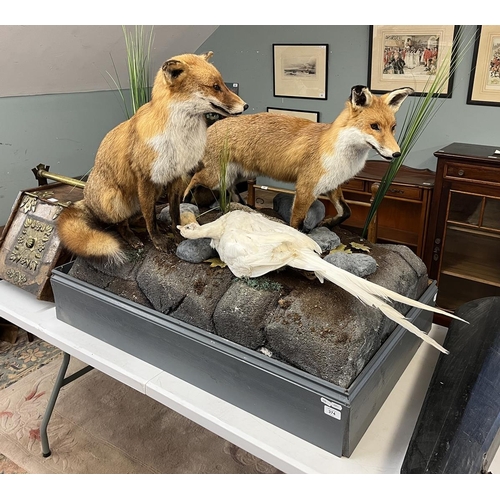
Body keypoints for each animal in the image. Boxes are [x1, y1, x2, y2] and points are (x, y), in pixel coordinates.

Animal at [55, 51, 247, 266]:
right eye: (215, 86)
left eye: (222, 84)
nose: (246, 105)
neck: (180, 137)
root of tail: (87, 200)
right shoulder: (145, 178)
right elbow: (151, 218)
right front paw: (158, 241)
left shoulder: (175, 178)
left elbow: (173, 213)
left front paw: (177, 233)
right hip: (114, 198)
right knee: (122, 224)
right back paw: (132, 238)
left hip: (155, 191)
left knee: (137, 217)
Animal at [184, 86, 414, 230]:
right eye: (374, 126)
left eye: (393, 128)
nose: (396, 154)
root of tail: (213, 125)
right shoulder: (306, 187)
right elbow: (296, 224)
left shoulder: (331, 185)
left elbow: (346, 211)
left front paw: (327, 223)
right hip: (215, 177)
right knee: (194, 179)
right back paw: (186, 201)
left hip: (236, 175)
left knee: (230, 190)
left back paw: (246, 206)